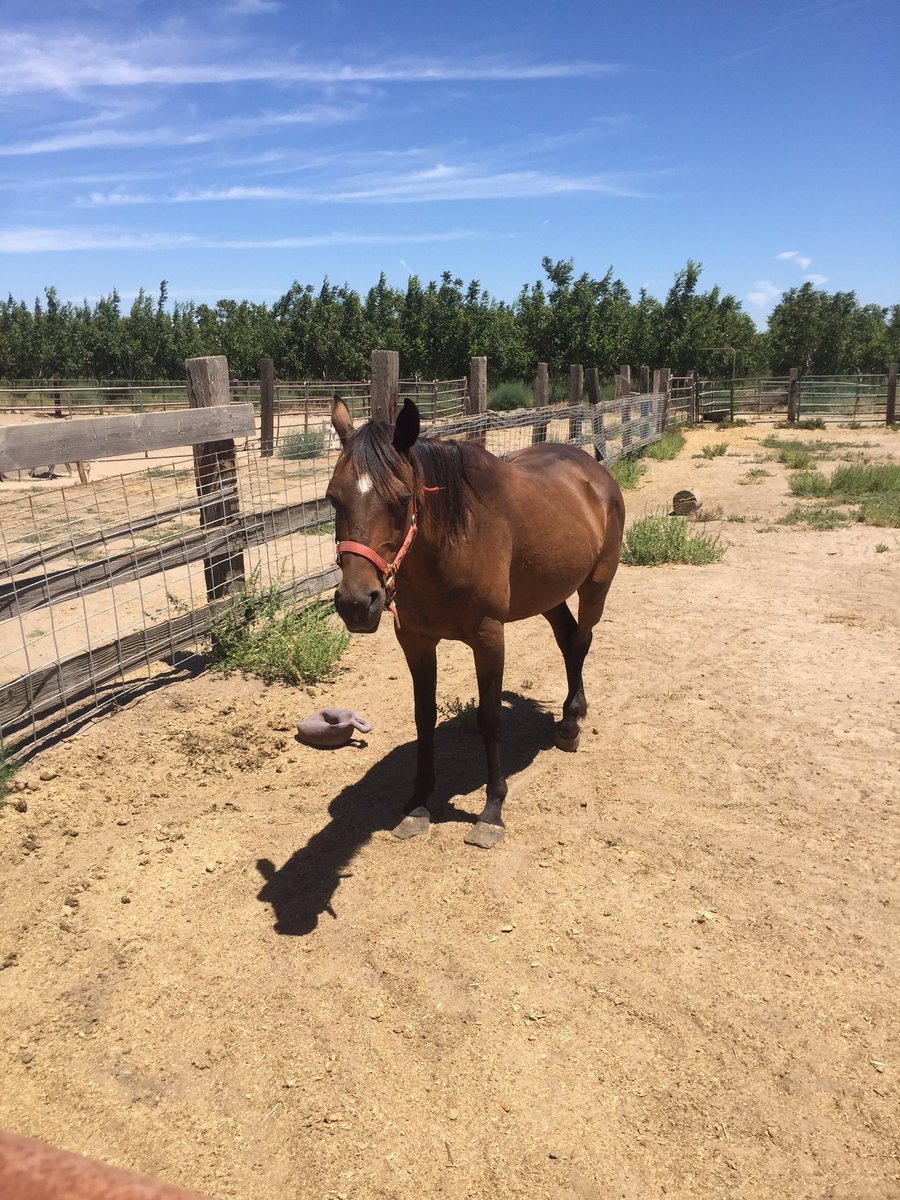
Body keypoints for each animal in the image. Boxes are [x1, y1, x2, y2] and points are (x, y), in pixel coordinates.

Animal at [326, 396, 625, 848]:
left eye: (402, 499)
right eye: (332, 499)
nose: (357, 604)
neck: (452, 543)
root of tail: (594, 468)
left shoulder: (488, 638)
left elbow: (489, 718)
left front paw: (492, 811)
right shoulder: (415, 641)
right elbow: (424, 717)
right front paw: (418, 804)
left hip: (596, 587)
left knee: (581, 641)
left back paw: (571, 724)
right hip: (547, 594)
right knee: (568, 639)